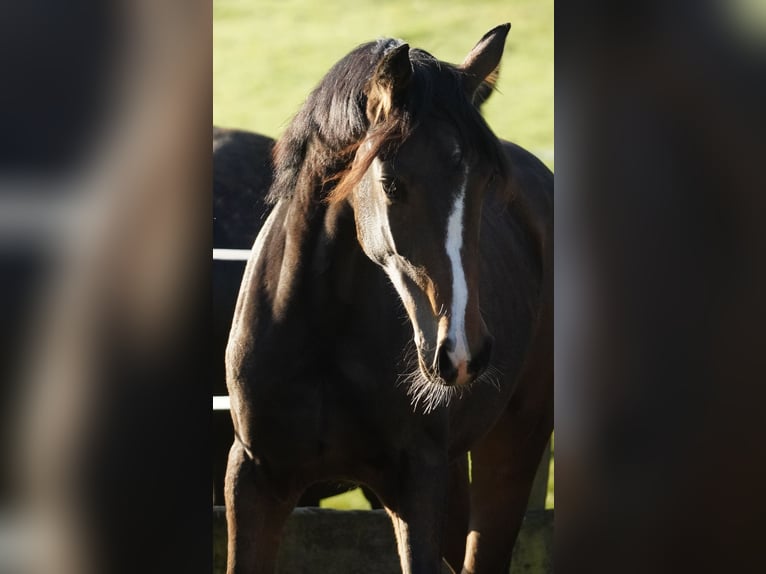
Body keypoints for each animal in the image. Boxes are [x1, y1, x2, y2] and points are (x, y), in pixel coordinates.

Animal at [225, 25, 556, 574]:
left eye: (486, 182)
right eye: (391, 184)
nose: (461, 351)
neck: (319, 332)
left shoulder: (414, 485)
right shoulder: (252, 479)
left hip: (515, 444)